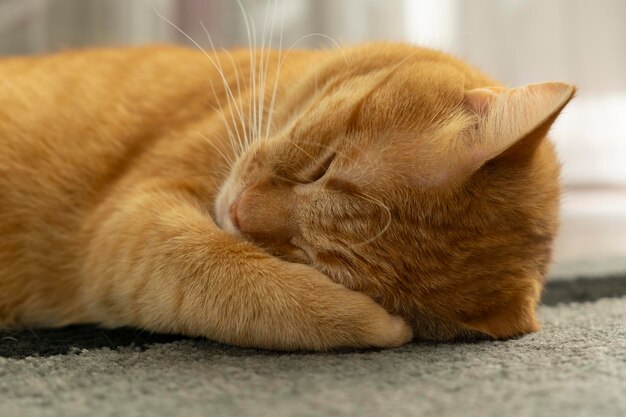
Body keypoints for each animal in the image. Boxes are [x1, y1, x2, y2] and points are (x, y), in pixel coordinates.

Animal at [0, 43, 572, 348]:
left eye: (313, 260)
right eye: (323, 168)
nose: (236, 212)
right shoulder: (127, 222)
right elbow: (228, 274)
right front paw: (376, 327)